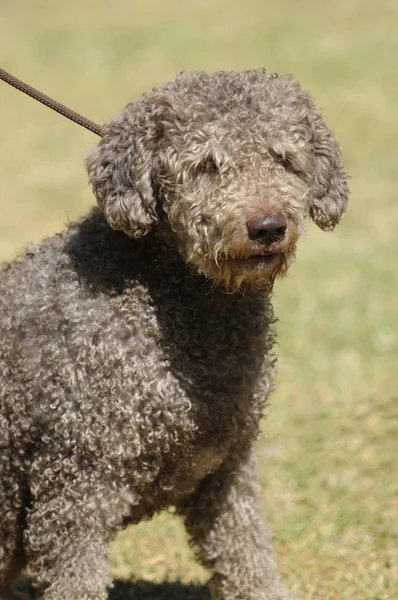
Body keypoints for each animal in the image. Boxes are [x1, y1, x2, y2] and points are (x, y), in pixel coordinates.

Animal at [0, 71, 346, 600]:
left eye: (285, 159)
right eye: (205, 166)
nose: (268, 226)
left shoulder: (228, 471)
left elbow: (248, 556)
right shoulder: (76, 481)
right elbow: (76, 577)